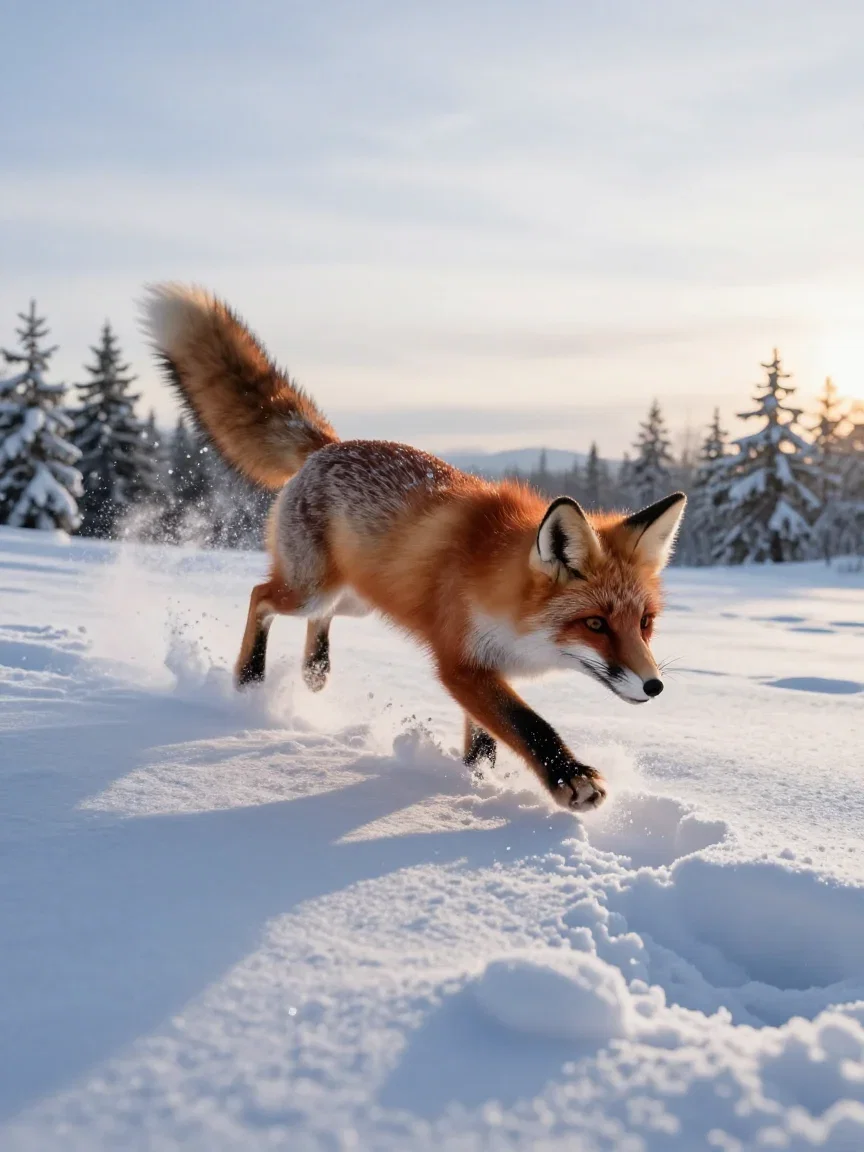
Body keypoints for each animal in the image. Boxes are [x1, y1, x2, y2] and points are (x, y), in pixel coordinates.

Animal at [142, 285, 686, 813]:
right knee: (260, 596)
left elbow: (485, 744)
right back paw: (250, 679)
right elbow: (526, 722)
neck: (506, 604)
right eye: (594, 624)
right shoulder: (461, 662)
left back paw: (315, 669)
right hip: (312, 588)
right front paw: (570, 778)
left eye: (644, 623)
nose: (655, 685)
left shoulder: (486, 668)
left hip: (357, 599)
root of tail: (327, 446)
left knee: (318, 618)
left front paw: (475, 784)